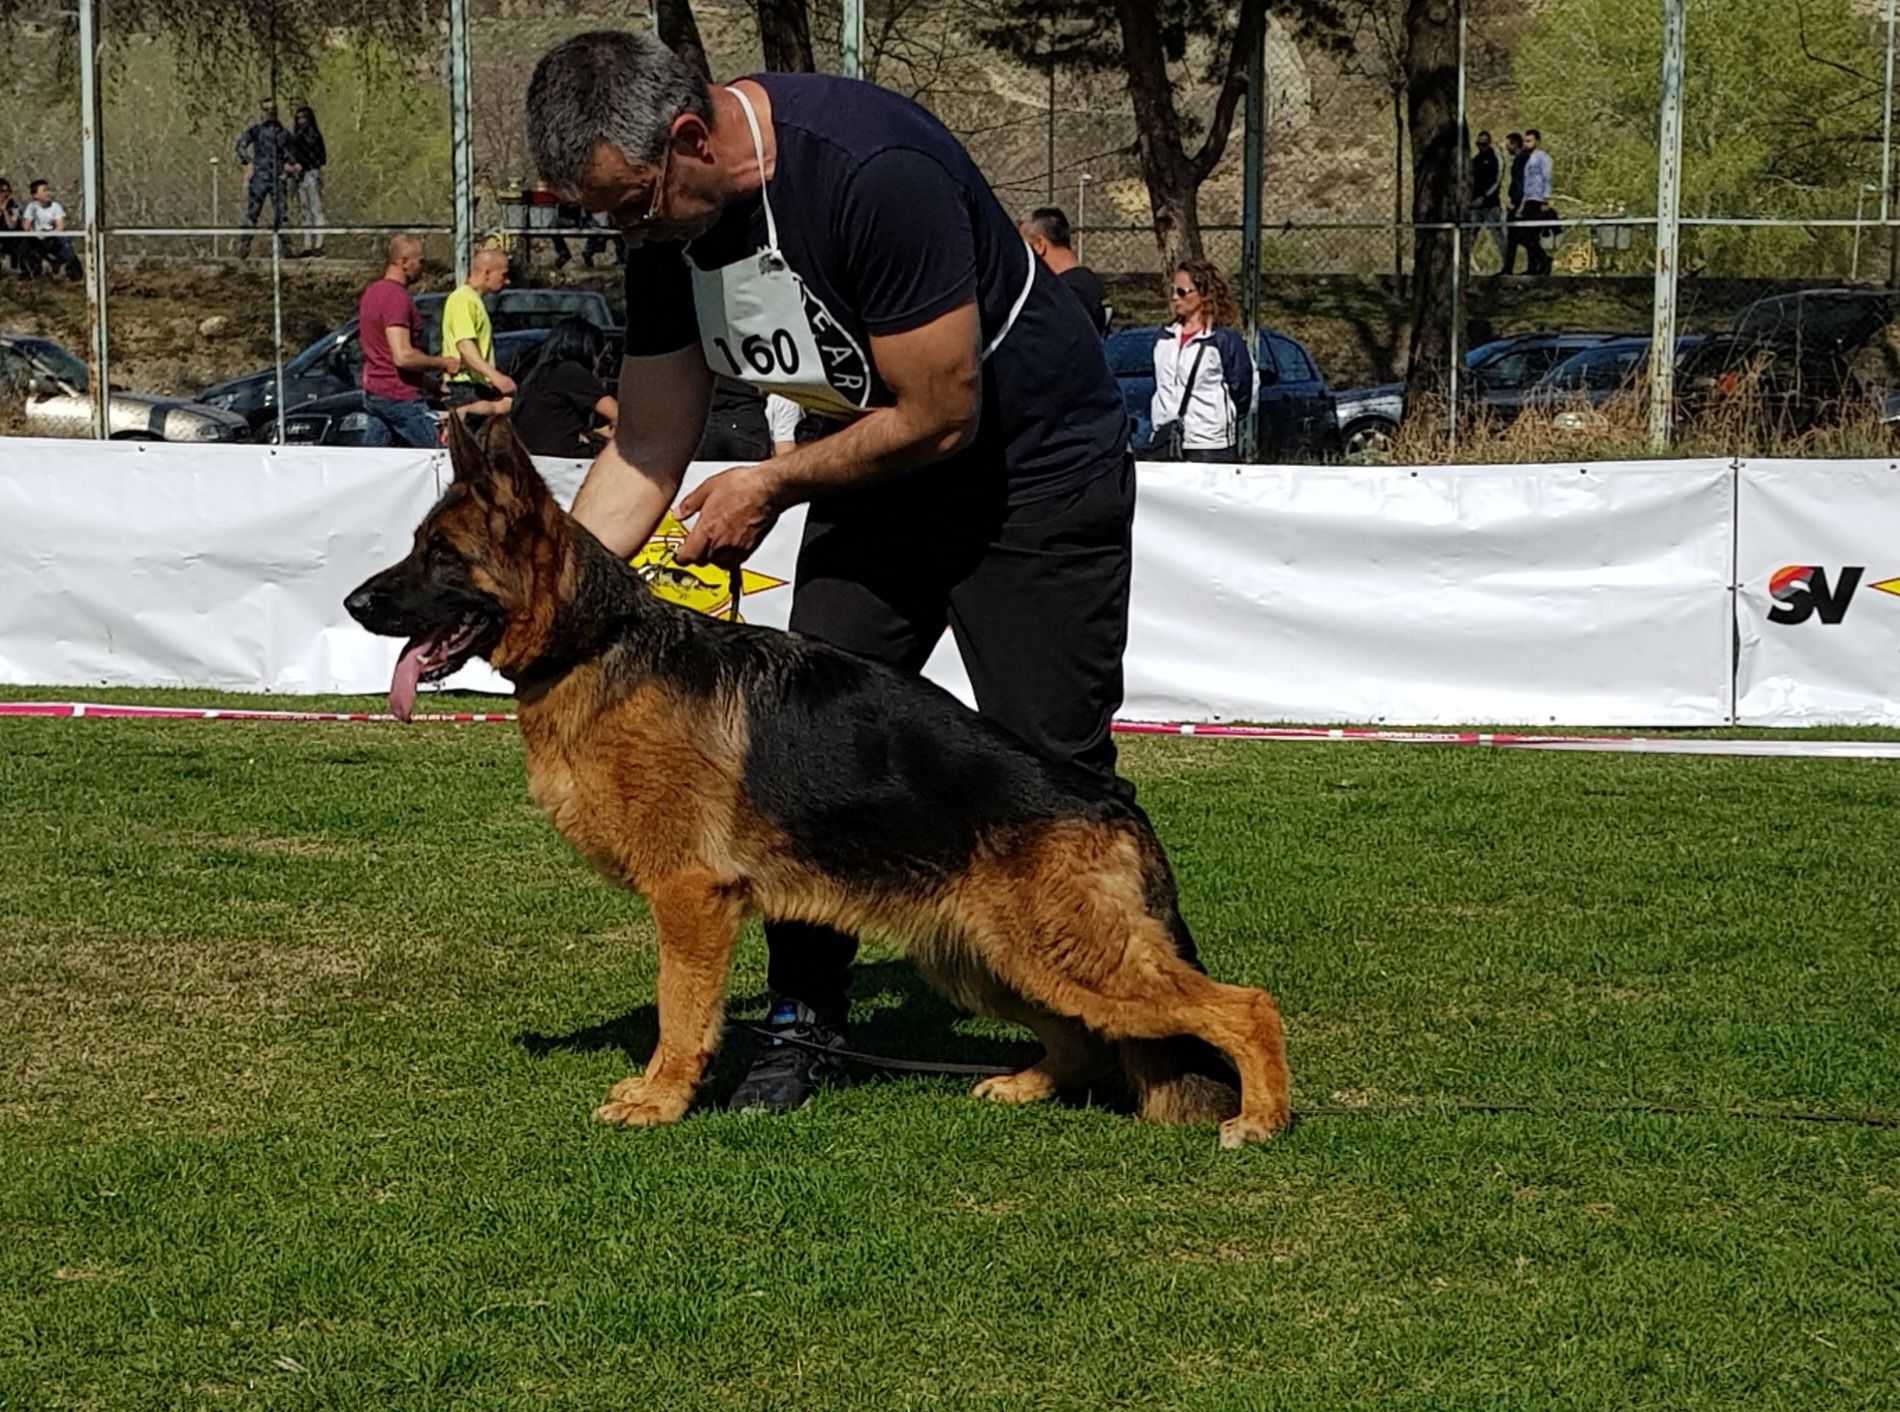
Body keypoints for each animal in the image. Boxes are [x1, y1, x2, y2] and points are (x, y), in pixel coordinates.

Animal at [342, 416, 1292, 1147]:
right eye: (414, 547)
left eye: (440, 555)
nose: (353, 604)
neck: (595, 641)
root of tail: (1109, 804)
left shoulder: (690, 899)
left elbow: (678, 1011)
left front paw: (660, 1099)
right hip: (988, 957)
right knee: (1084, 1037)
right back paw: (1025, 1085)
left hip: (1067, 954)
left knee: (1246, 1006)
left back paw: (1261, 1119)